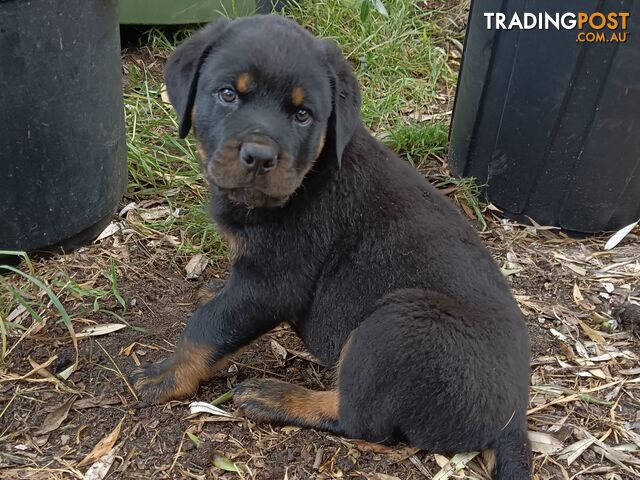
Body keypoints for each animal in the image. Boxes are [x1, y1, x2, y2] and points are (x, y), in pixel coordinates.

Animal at [132, 15, 532, 480]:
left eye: (303, 115)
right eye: (228, 94)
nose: (259, 156)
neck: (308, 178)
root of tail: (511, 423)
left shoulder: (274, 283)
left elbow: (208, 326)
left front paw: (166, 375)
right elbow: (222, 308)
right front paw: (214, 292)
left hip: (400, 323)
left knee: (359, 419)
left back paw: (275, 396)